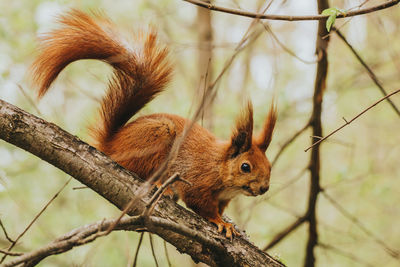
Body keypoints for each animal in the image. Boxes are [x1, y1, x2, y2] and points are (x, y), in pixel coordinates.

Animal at [31, 9, 276, 240]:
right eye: (245, 167)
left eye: (269, 165)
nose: (264, 188)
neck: (220, 167)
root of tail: (111, 144)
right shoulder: (198, 181)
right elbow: (201, 205)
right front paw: (221, 222)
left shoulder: (223, 198)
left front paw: (227, 221)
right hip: (157, 137)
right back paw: (160, 186)